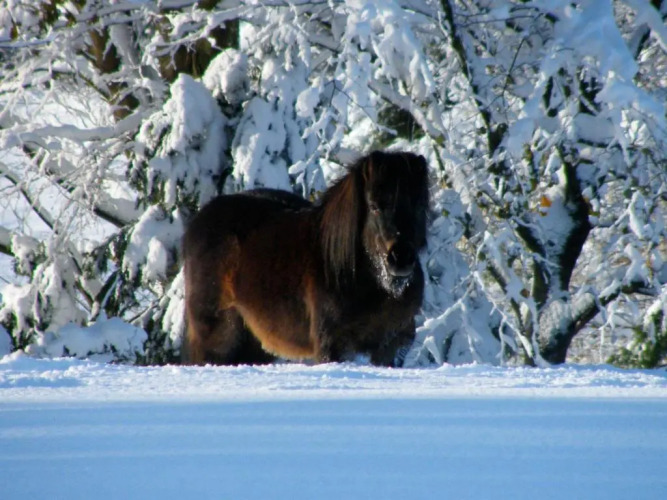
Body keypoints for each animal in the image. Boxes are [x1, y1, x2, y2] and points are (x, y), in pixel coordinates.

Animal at [181, 150, 430, 366]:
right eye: (374, 206)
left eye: (418, 205)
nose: (401, 258)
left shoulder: (393, 345)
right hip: (215, 338)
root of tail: (198, 221)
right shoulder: (334, 347)